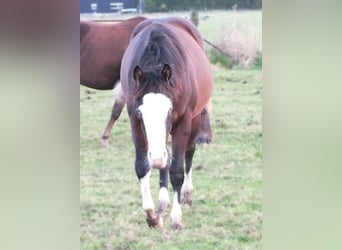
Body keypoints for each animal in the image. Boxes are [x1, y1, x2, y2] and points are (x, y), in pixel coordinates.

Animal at [119, 17, 212, 229]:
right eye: (140, 112)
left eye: (169, 110)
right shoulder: (134, 120)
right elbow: (142, 166)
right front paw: (152, 215)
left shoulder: (183, 122)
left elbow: (177, 169)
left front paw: (176, 217)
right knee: (164, 160)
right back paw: (162, 200)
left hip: (194, 121)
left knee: (188, 154)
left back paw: (187, 194)